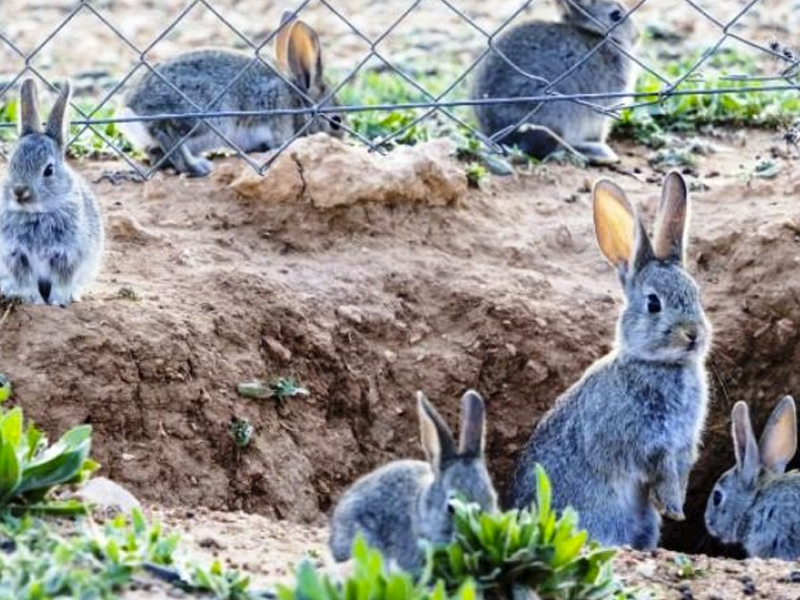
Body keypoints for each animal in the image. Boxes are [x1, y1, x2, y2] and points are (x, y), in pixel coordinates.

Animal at [0, 79, 104, 307]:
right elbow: (25, 280)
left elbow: (62, 280)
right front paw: (35, 301)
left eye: (48, 170)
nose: (19, 191)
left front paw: (58, 302)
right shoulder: (15, 255)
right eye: (12, 164)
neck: (36, 213)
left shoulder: (67, 255)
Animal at [121, 11, 344, 177]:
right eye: (336, 122)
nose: (341, 141)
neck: (297, 103)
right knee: (166, 130)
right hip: (208, 113)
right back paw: (198, 167)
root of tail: (131, 110)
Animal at [471, 0, 639, 164]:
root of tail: (502, 140)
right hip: (551, 118)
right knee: (547, 150)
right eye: (616, 15)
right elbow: (600, 133)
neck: (597, 35)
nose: (637, 35)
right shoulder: (601, 112)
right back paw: (598, 153)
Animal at [511, 171, 711, 550]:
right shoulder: (642, 442)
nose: (693, 334)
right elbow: (660, 468)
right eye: (653, 304)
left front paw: (676, 509)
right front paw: (672, 506)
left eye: (697, 295)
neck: (660, 365)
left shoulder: (683, 444)